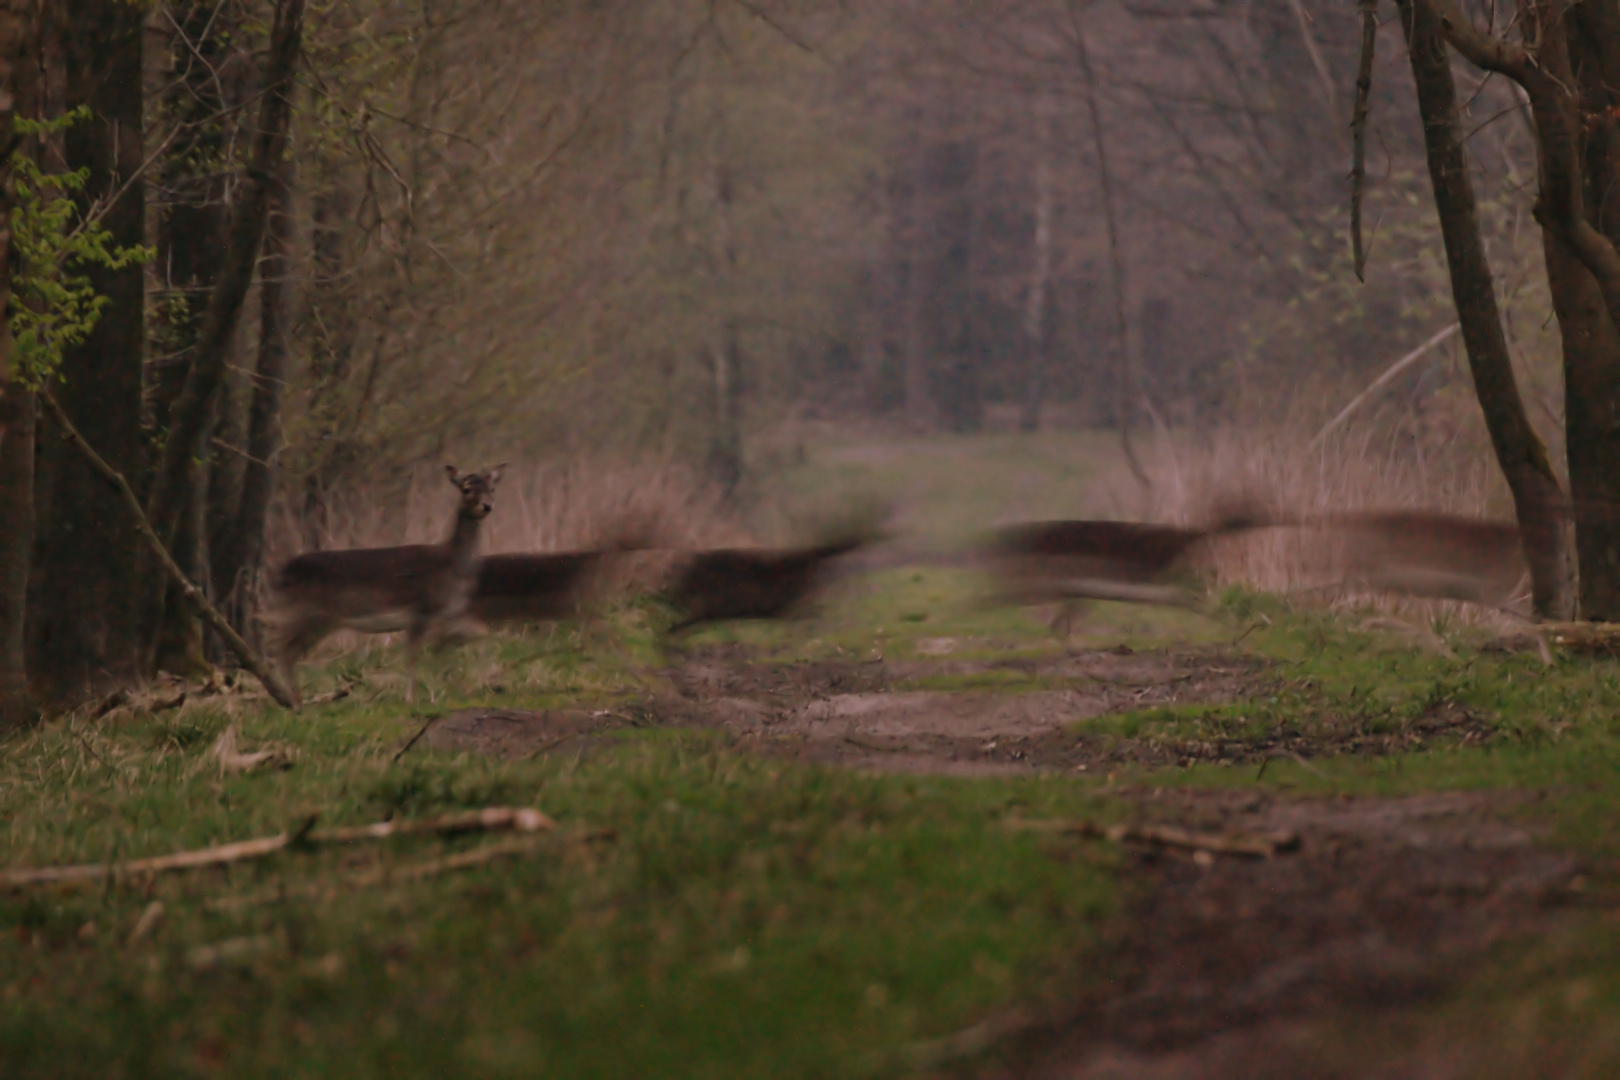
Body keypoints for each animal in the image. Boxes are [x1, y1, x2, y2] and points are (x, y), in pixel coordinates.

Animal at [265, 466, 505, 709]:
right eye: (466, 489)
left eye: (492, 488)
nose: (487, 505)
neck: (452, 566)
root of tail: (281, 573)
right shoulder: (419, 609)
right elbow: (412, 656)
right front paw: (410, 699)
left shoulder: (446, 614)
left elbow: (475, 634)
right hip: (305, 614)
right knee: (279, 649)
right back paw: (293, 701)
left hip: (316, 620)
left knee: (286, 651)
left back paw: (296, 699)